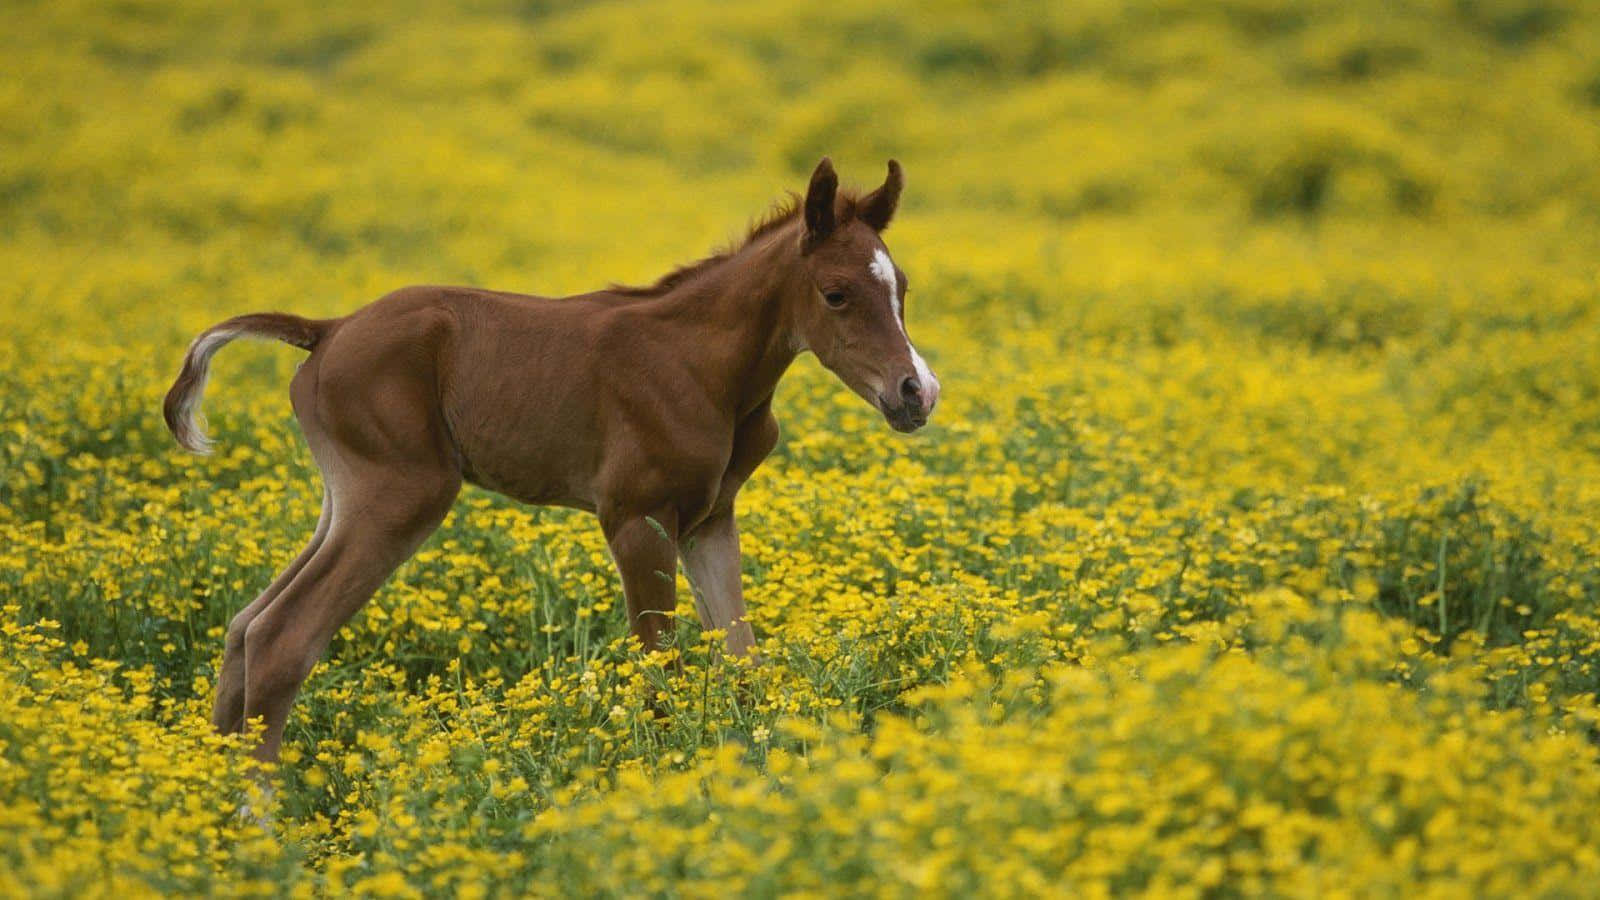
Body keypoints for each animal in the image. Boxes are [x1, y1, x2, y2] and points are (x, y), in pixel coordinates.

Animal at [164, 158, 940, 763]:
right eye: (836, 293)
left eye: (901, 287)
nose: (917, 392)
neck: (702, 364)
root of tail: (327, 331)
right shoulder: (634, 520)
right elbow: (659, 668)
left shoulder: (709, 521)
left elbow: (743, 656)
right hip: (401, 496)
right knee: (283, 635)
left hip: (344, 501)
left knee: (244, 625)